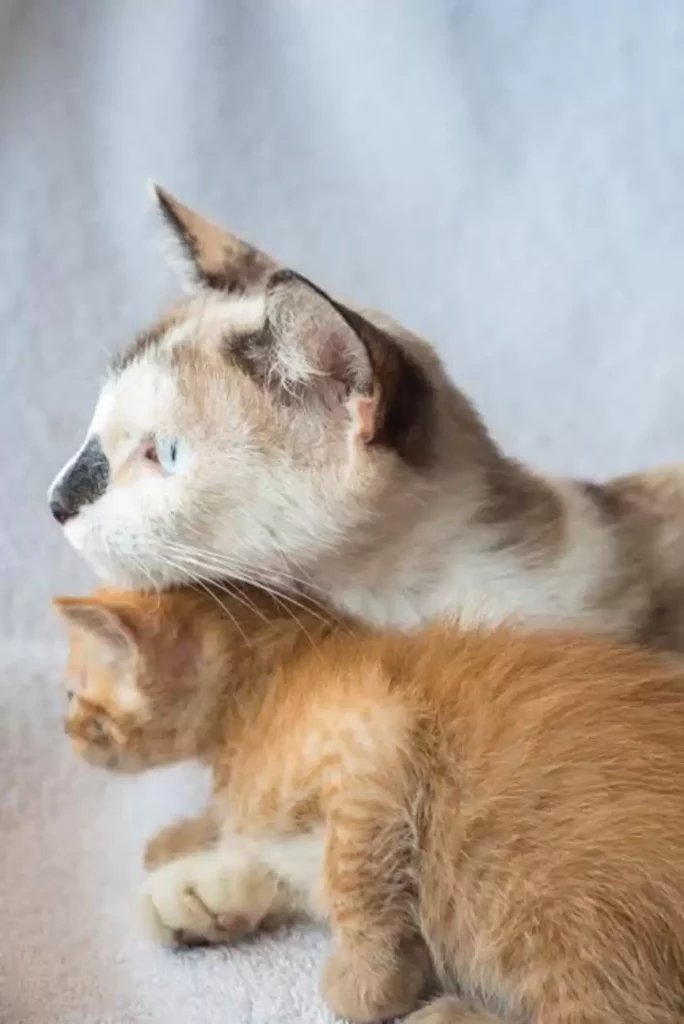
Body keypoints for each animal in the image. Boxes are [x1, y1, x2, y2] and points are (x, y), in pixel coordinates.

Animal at [54, 585, 684, 1024]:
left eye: (73, 694)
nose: (67, 733)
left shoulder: (373, 737)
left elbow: (355, 882)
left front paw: (370, 987)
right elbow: (284, 867)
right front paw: (194, 884)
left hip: (551, 905)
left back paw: (448, 1016)